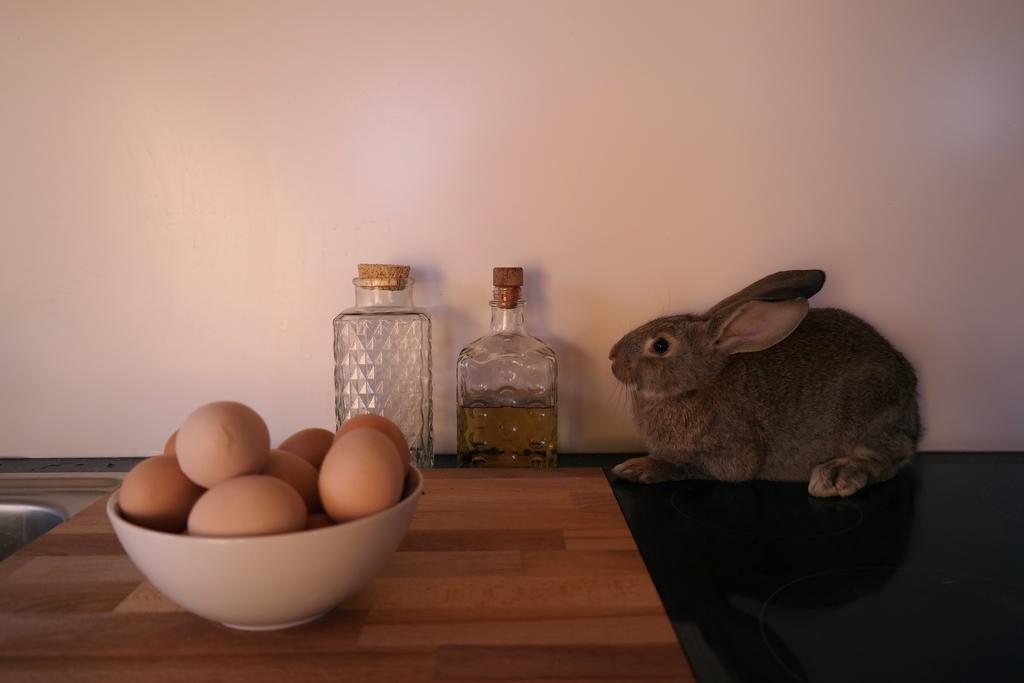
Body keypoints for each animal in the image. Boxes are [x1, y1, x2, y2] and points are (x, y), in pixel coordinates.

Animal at [606, 268, 921, 497]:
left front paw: (636, 468)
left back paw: (835, 475)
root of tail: (913, 411)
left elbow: (685, 466)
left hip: (870, 411)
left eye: (660, 346)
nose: (612, 357)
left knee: (890, 459)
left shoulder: (730, 456)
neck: (697, 384)